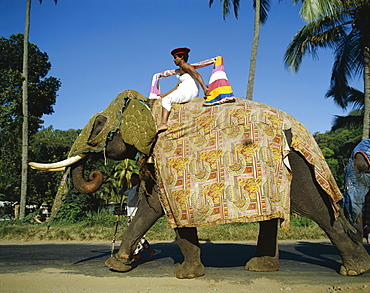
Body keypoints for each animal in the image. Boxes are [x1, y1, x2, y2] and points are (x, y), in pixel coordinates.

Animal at [29, 89, 370, 278]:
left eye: (99, 125)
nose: (95, 173)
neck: (152, 103)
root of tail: (303, 132)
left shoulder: (167, 155)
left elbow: (155, 207)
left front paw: (120, 267)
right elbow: (158, 207)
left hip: (295, 167)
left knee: (316, 208)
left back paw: (355, 269)